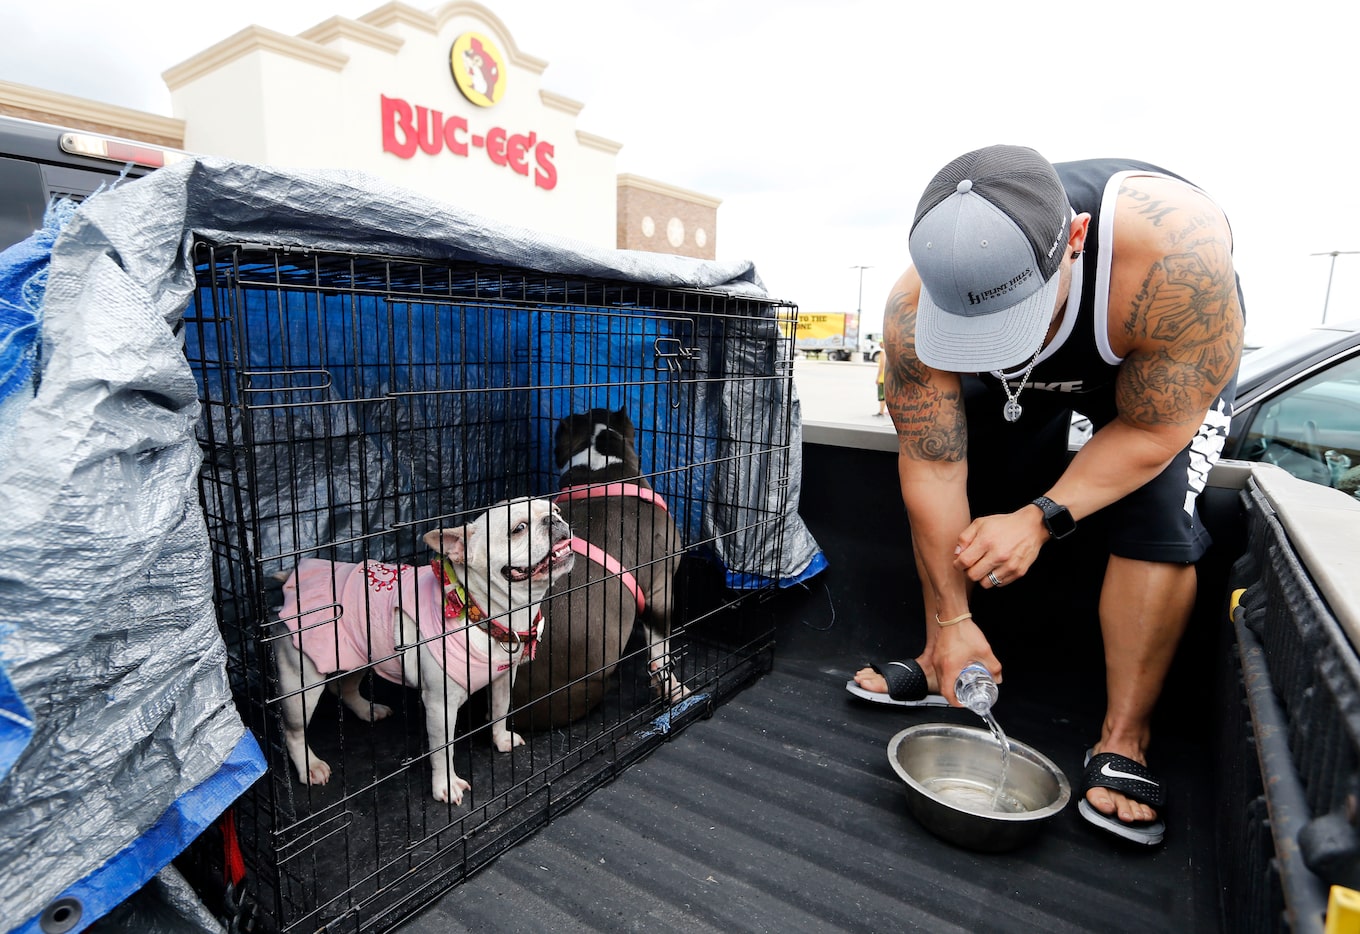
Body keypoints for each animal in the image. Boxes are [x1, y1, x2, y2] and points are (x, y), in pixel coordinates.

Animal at [270, 500, 573, 804]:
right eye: (518, 528)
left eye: (556, 510)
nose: (553, 520)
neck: (478, 610)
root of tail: (295, 577)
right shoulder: (440, 704)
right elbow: (443, 748)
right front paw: (446, 785)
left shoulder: (502, 678)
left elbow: (500, 710)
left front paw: (500, 739)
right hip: (302, 685)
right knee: (293, 730)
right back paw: (309, 766)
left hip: (359, 655)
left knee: (344, 687)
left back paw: (369, 710)